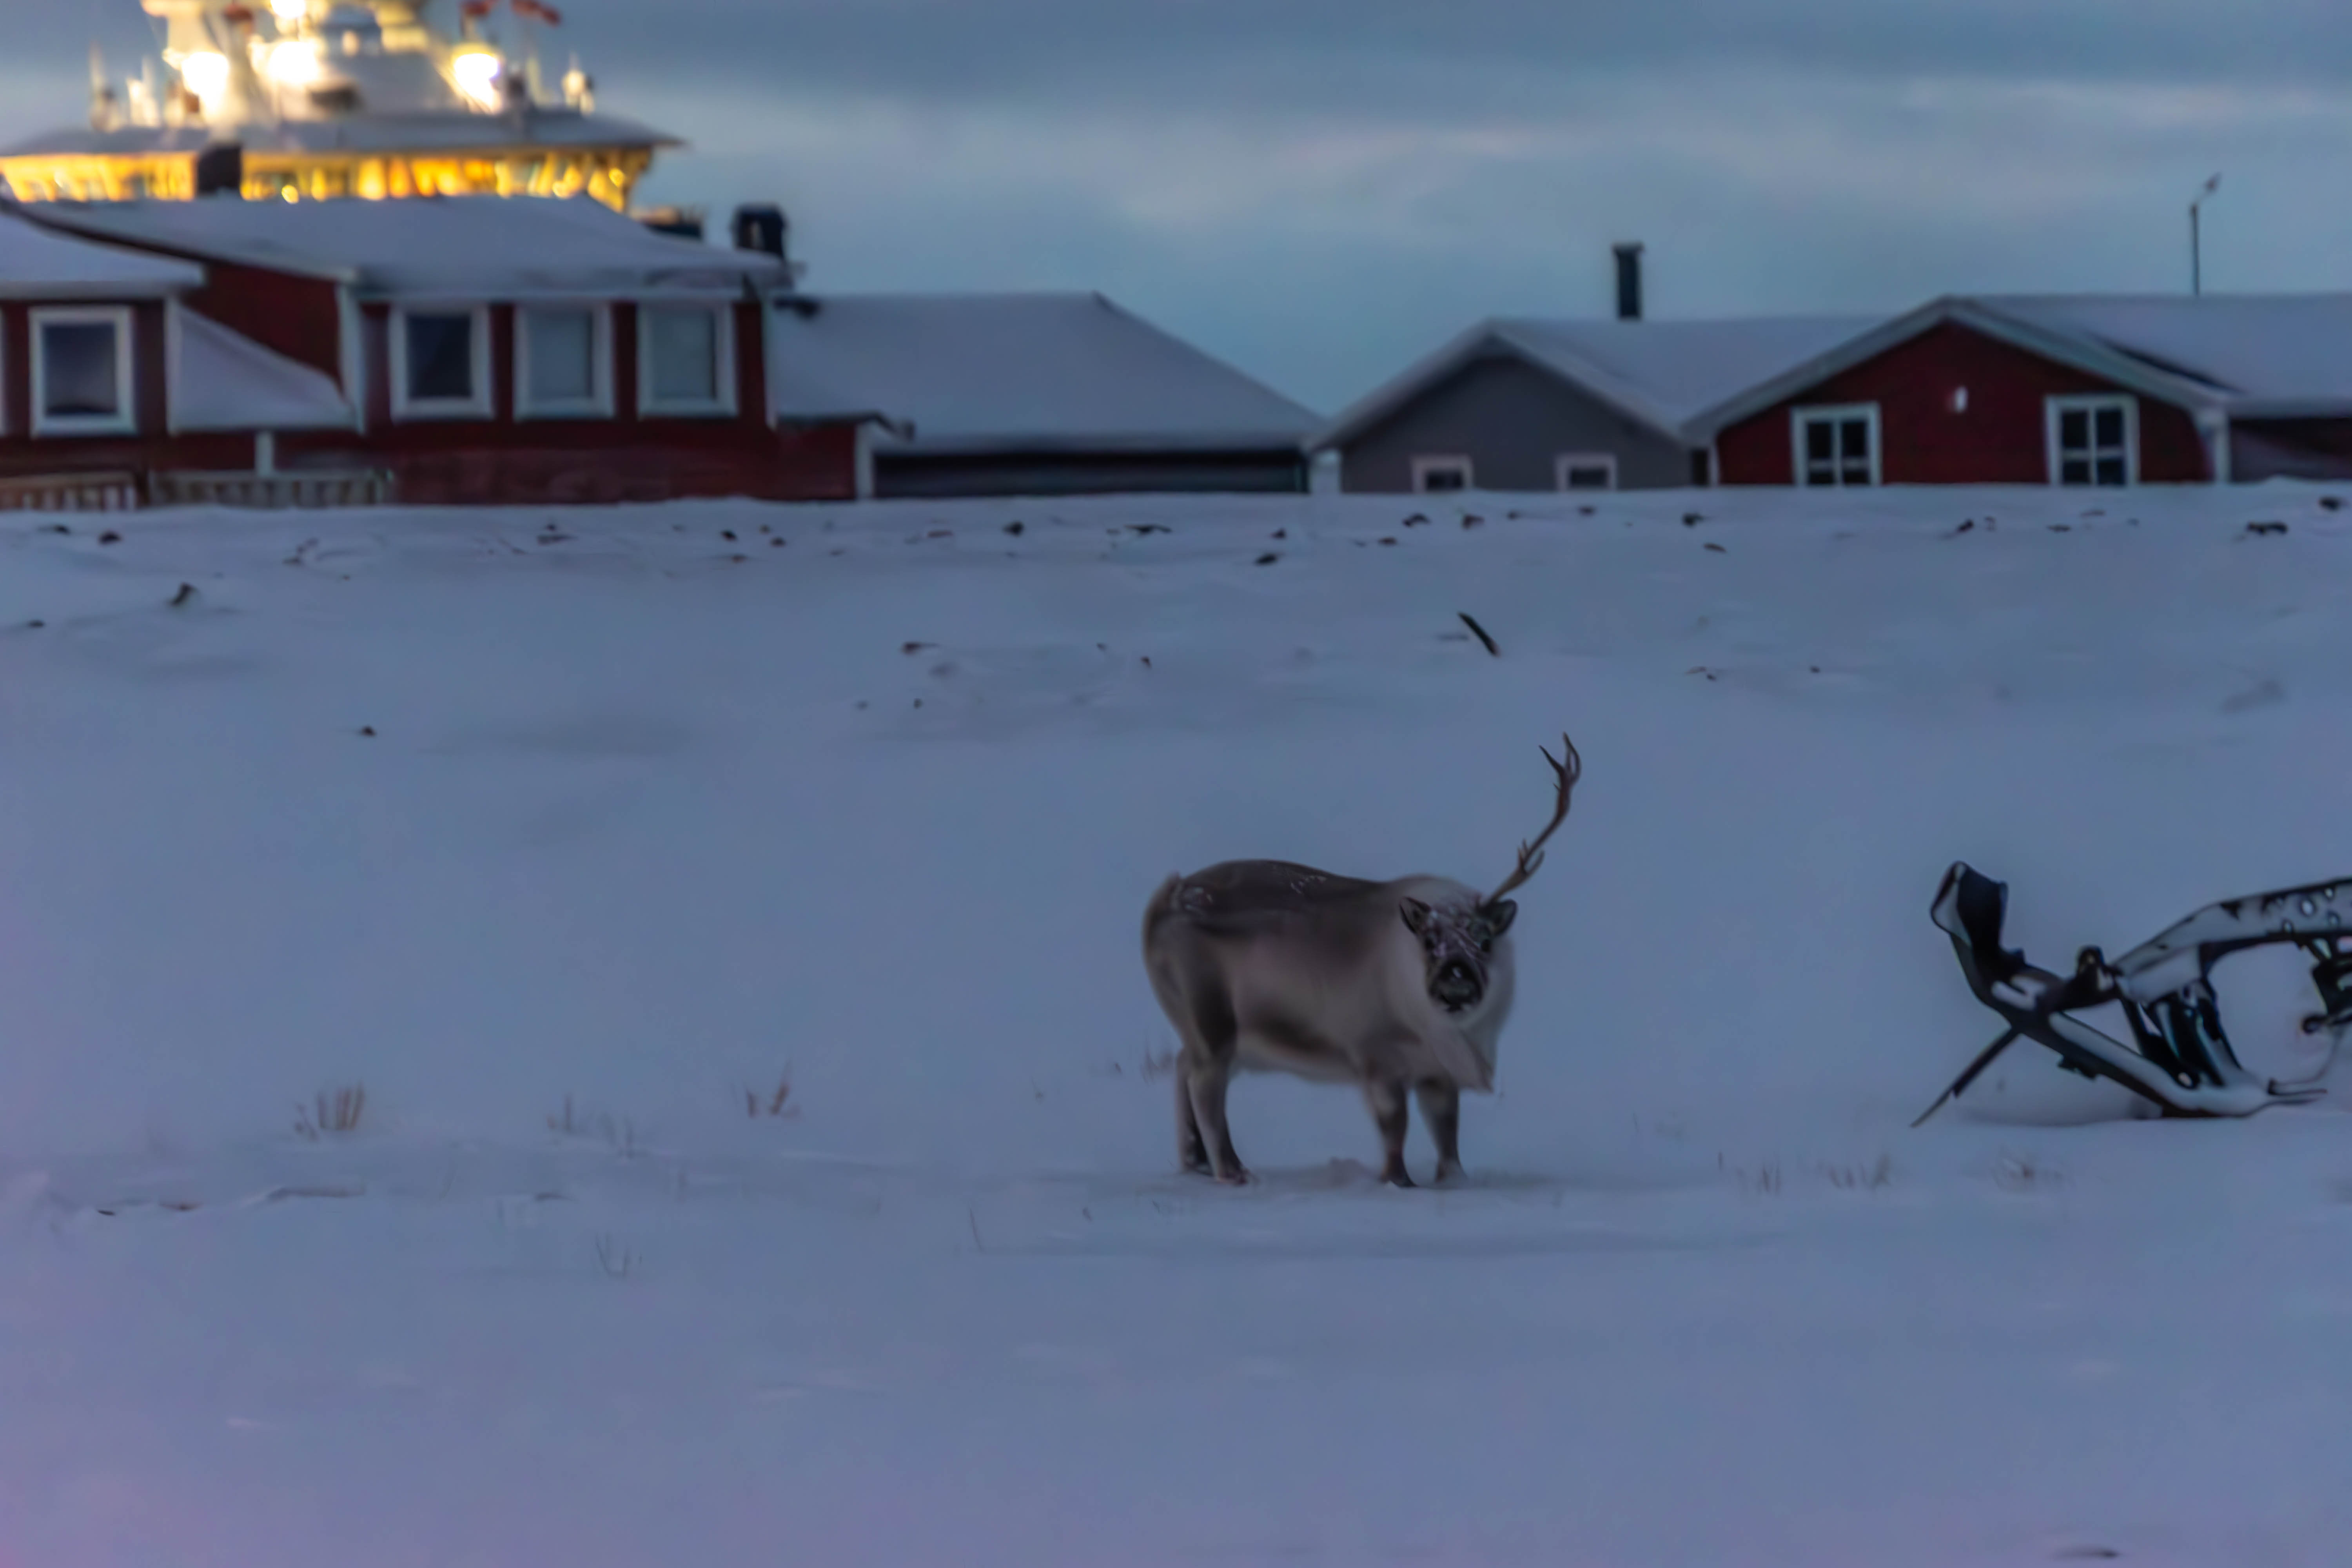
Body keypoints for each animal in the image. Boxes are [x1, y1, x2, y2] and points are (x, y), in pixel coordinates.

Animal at [1140, 734, 1580, 1188]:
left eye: (1485, 939)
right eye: (1429, 940)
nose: (1456, 988)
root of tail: (1161, 903)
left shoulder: (1436, 1073)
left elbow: (1447, 1133)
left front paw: (1453, 1180)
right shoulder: (1375, 1056)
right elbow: (1395, 1126)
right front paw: (1397, 1180)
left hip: (1205, 1029)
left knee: (1182, 1065)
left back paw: (1197, 1161)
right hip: (1211, 1018)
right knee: (1205, 1085)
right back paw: (1233, 1171)